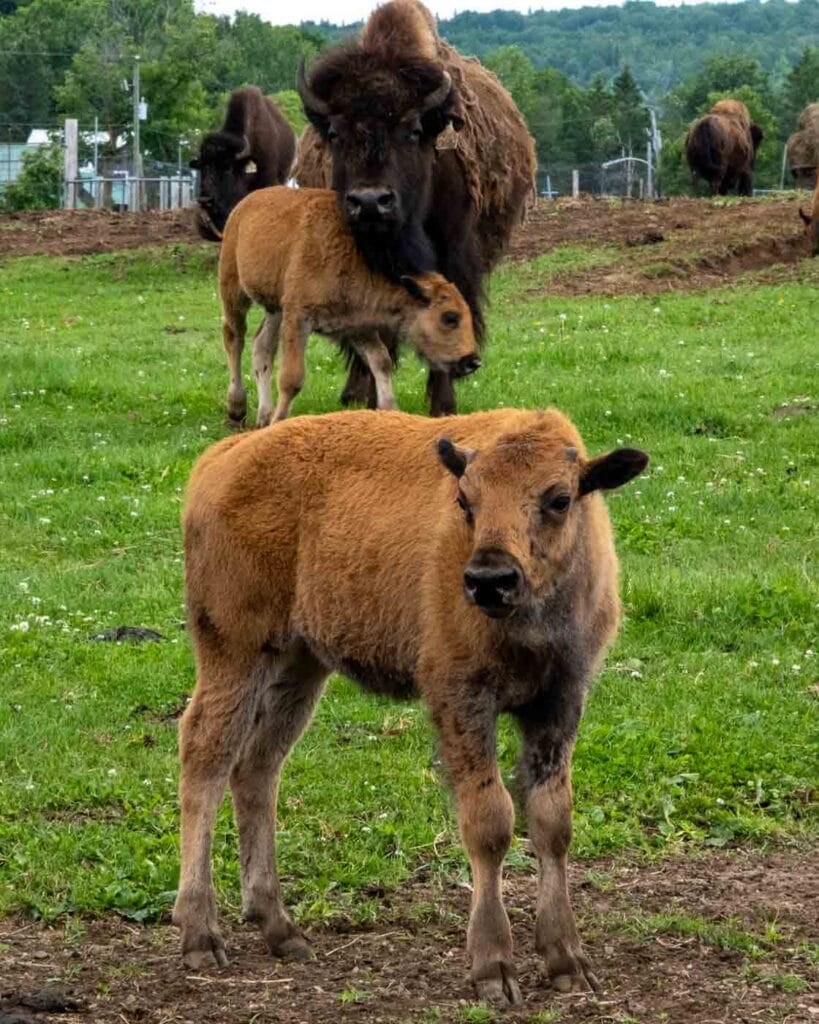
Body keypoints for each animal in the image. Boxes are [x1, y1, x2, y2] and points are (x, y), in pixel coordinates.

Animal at [173, 407, 648, 1007]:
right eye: (465, 500)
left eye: (559, 499)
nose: (489, 579)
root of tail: (222, 458)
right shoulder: (461, 699)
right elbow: (490, 821)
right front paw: (493, 967)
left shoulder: (560, 703)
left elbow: (552, 821)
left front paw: (567, 960)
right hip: (235, 651)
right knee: (206, 758)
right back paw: (199, 934)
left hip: (300, 665)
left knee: (257, 768)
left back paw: (279, 927)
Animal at [218, 186, 480, 426]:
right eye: (450, 317)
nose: (472, 361)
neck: (355, 260)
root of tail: (245, 204)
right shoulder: (298, 318)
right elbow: (292, 378)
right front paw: (279, 422)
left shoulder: (358, 326)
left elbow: (381, 362)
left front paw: (391, 412)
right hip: (234, 292)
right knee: (234, 338)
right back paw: (237, 409)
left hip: (275, 308)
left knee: (262, 346)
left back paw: (263, 416)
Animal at [295, 0, 536, 417]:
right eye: (336, 133)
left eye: (412, 131)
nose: (370, 202)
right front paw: (374, 400)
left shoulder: (453, 254)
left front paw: (443, 404)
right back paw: (354, 392)